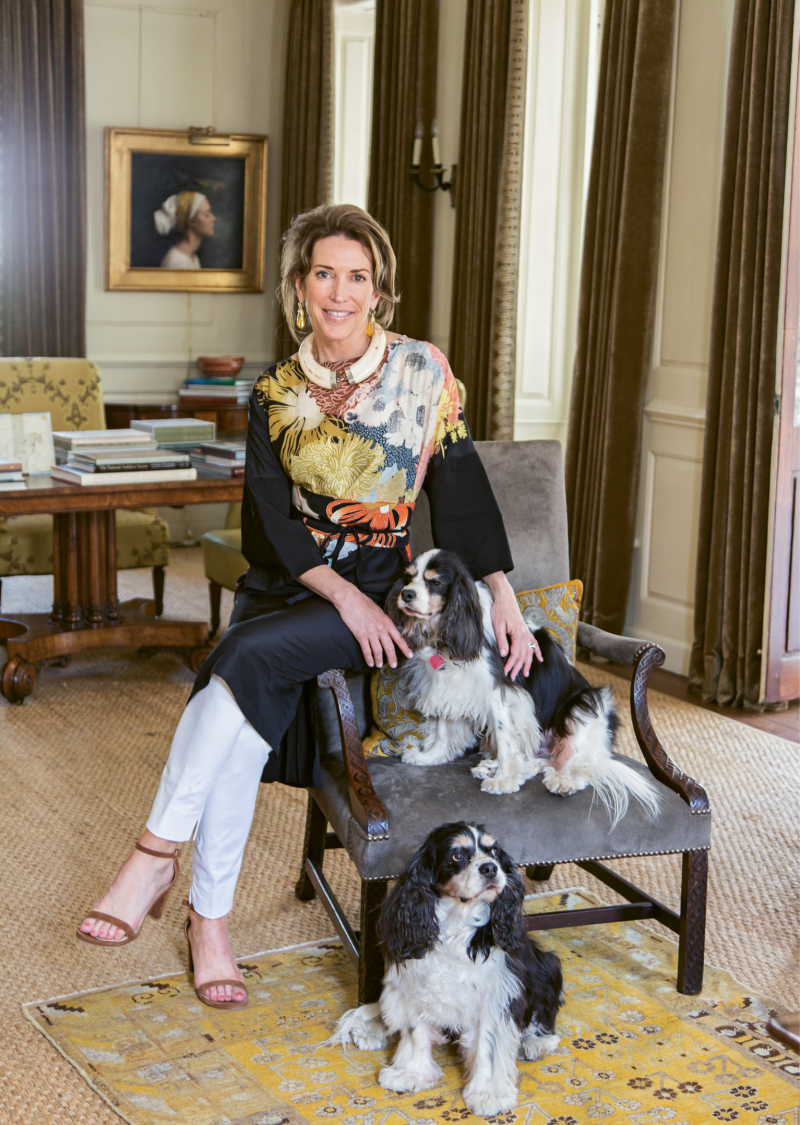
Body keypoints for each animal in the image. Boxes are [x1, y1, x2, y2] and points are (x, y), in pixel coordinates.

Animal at [330, 823, 562, 1120]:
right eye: (456, 855)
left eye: (493, 851)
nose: (491, 868)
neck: (457, 921)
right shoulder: (415, 984)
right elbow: (415, 1033)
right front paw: (410, 1074)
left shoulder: (495, 994)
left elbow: (487, 1046)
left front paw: (488, 1095)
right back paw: (373, 1030)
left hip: (547, 968)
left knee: (544, 1018)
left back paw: (534, 1043)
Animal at [384, 546, 661, 828]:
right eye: (408, 577)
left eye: (436, 582)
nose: (406, 594)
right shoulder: (449, 686)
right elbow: (443, 729)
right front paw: (430, 757)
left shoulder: (499, 694)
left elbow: (506, 740)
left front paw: (504, 780)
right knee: (537, 760)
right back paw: (494, 766)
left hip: (585, 706)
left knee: (581, 764)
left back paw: (563, 780)